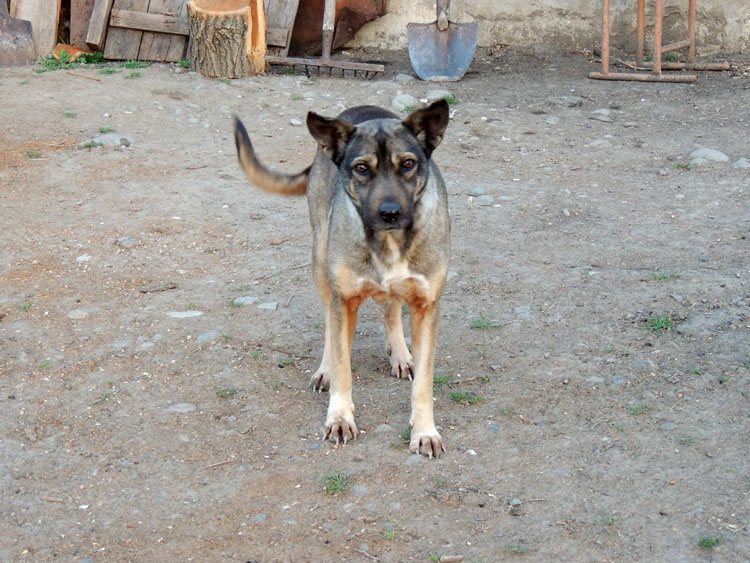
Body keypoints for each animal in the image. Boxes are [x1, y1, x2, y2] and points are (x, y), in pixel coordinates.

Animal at [234, 98, 452, 458]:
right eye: (361, 168)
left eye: (408, 164)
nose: (390, 212)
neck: (387, 242)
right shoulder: (344, 299)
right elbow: (342, 366)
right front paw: (339, 417)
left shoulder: (427, 306)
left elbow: (424, 383)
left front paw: (425, 431)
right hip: (321, 264)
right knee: (329, 325)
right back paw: (325, 369)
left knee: (391, 309)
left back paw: (400, 354)